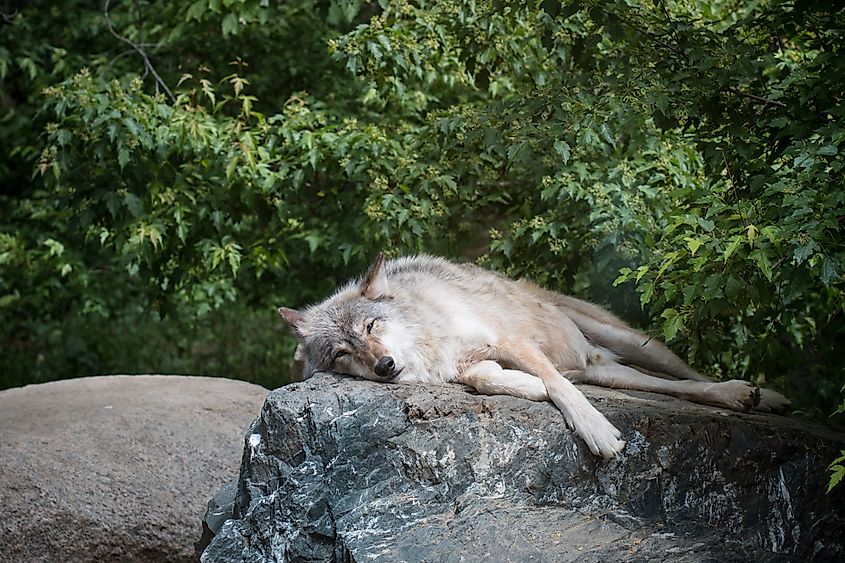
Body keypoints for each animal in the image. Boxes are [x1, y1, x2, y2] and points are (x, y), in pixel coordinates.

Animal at [278, 253, 790, 458]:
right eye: (342, 353)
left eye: (370, 326)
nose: (385, 367)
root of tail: (597, 357)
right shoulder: (472, 365)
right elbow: (490, 379)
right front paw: (528, 386)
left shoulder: (510, 340)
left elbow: (559, 386)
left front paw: (597, 431)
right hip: (610, 372)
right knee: (674, 387)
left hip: (635, 343)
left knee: (691, 374)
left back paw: (758, 396)